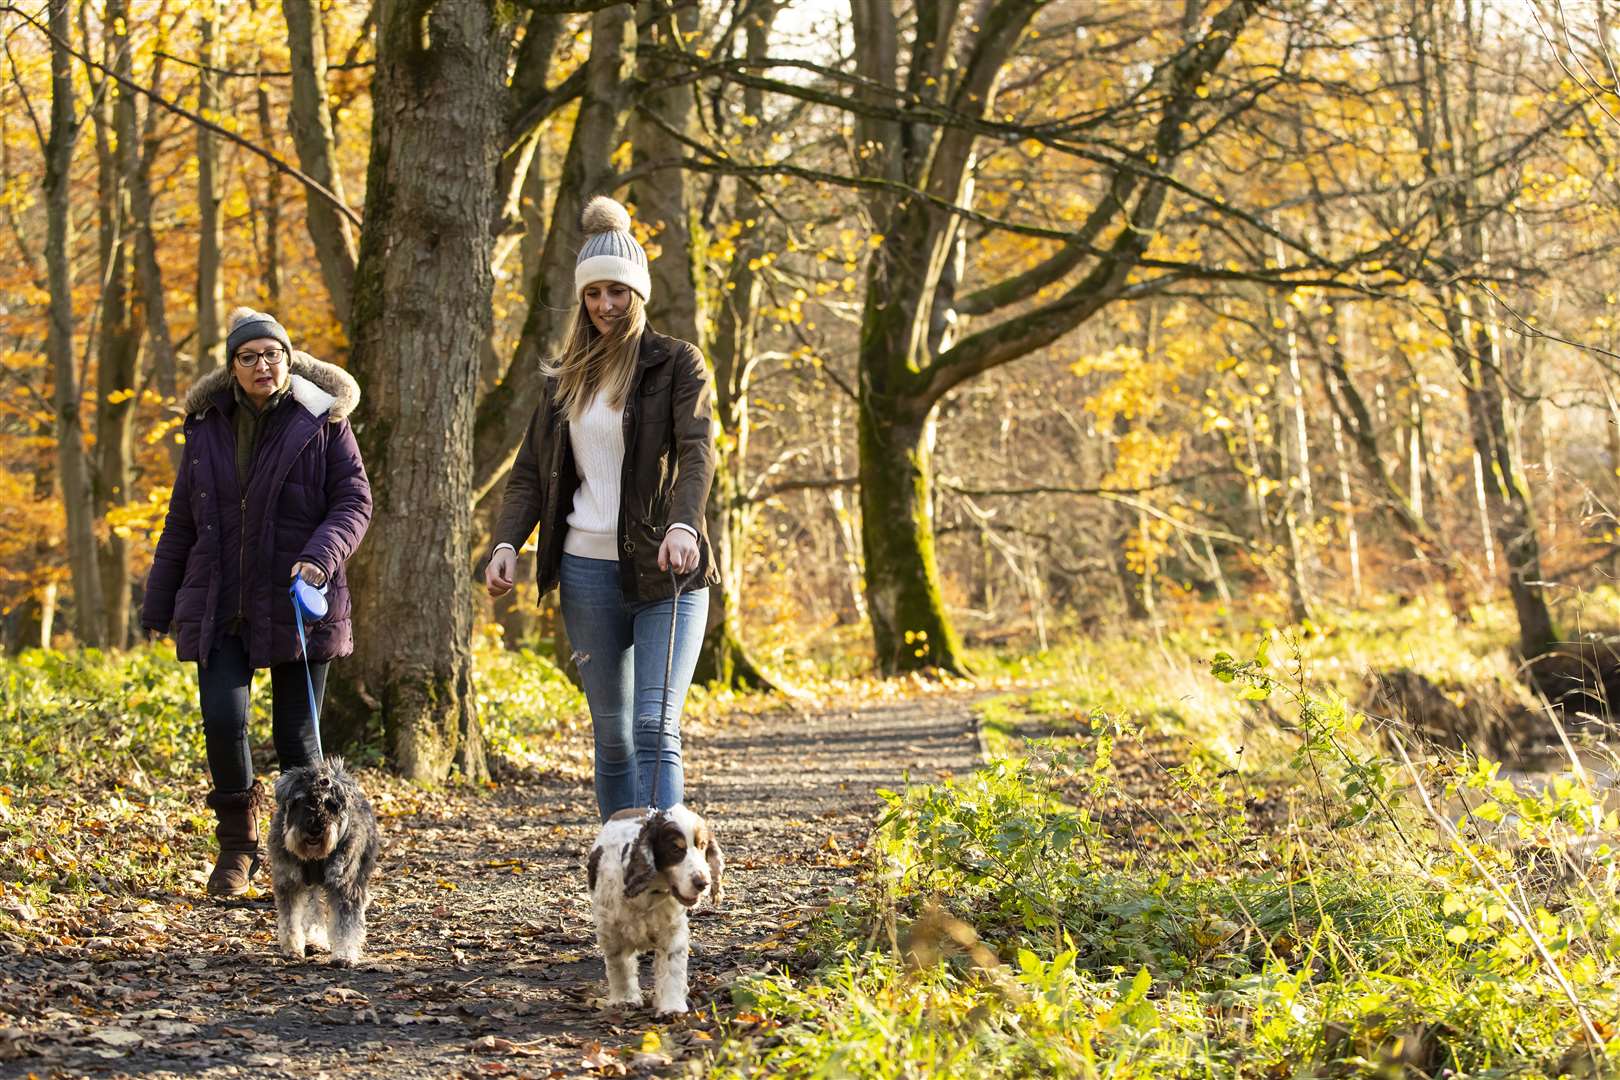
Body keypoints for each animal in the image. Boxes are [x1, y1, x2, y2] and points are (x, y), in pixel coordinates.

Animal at [273, 757, 383, 965]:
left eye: (330, 803)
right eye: (301, 800)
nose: (315, 829)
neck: (314, 856)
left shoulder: (345, 885)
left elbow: (346, 923)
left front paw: (344, 955)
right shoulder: (289, 882)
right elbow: (290, 919)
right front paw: (292, 948)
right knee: (313, 908)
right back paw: (315, 939)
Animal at [586, 803, 725, 1016]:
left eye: (703, 845)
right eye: (675, 848)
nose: (704, 883)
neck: (651, 892)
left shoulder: (672, 931)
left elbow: (671, 969)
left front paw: (672, 1007)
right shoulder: (611, 930)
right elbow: (619, 966)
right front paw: (624, 1000)